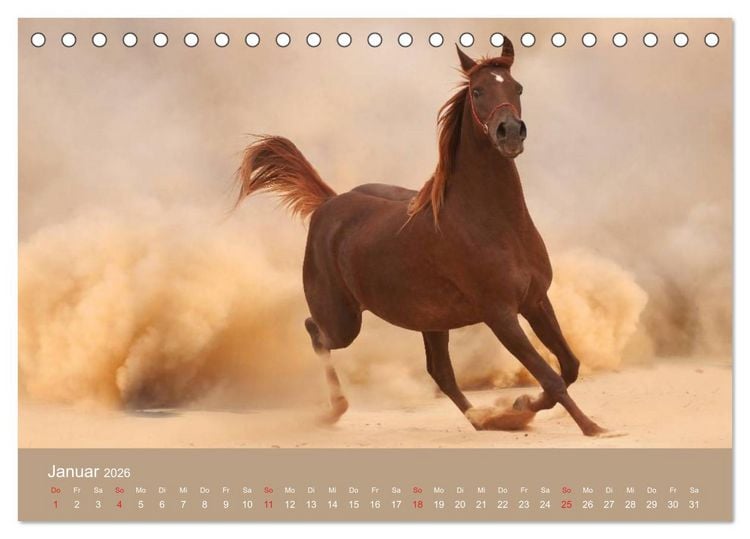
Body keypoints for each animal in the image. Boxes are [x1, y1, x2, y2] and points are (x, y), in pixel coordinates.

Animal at [234, 39, 605, 436]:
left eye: (517, 87)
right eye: (478, 91)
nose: (510, 132)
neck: (495, 223)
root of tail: (329, 203)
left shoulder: (536, 301)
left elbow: (569, 366)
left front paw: (519, 407)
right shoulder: (500, 314)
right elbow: (549, 375)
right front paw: (591, 427)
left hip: (431, 322)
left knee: (440, 372)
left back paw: (483, 419)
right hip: (344, 321)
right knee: (315, 332)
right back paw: (334, 411)